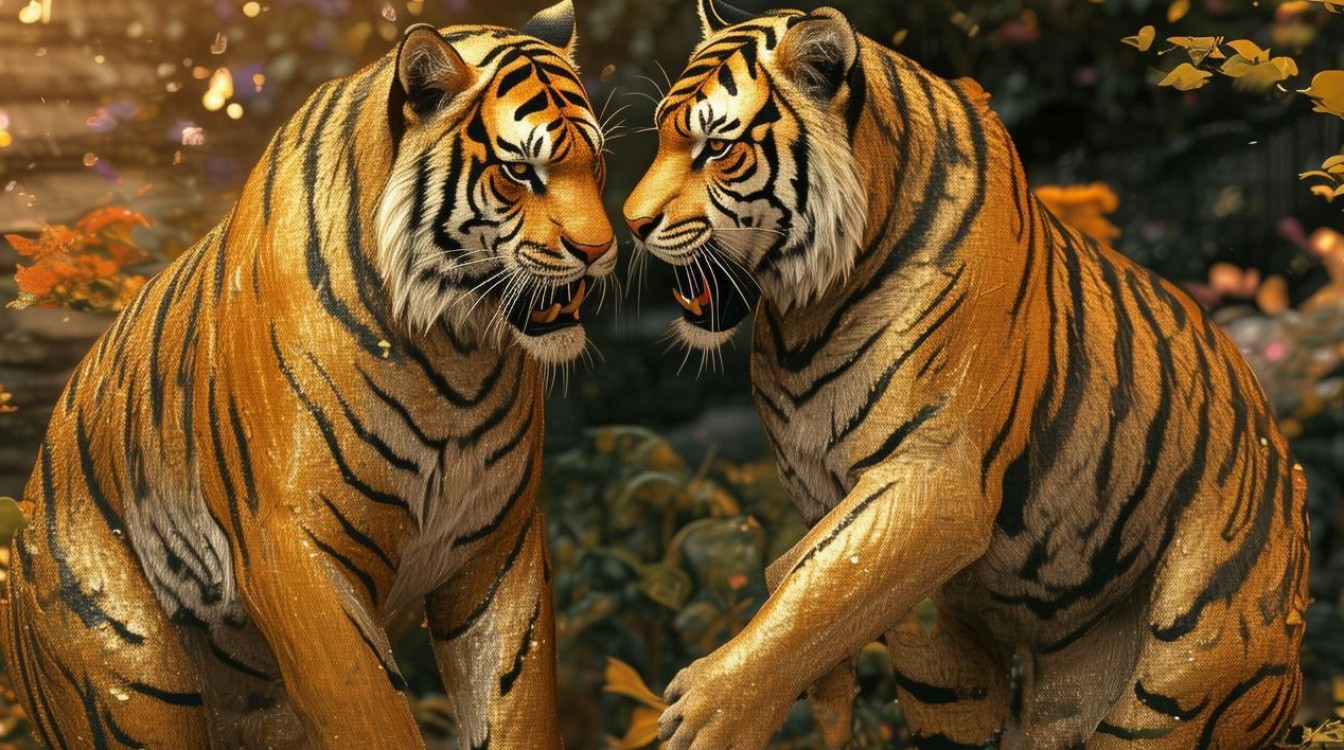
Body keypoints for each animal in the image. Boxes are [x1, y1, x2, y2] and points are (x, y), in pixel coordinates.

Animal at [0, 2, 614, 748]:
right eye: (522, 172)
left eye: (596, 161)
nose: (601, 251)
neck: (455, 353)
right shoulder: (297, 552)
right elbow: (370, 710)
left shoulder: (498, 548)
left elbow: (513, 697)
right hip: (129, 680)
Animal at [623, 2, 1311, 748]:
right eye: (661, 137)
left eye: (716, 149)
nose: (631, 223)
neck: (808, 313)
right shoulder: (838, 508)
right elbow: (819, 583)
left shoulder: (935, 479)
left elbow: (813, 592)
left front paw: (710, 710)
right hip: (1052, 675)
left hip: (1191, 671)